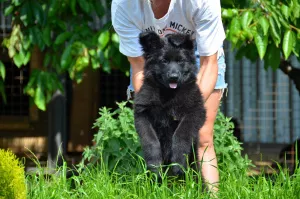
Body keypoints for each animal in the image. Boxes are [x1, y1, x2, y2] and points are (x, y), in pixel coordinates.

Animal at [134, 31, 206, 176]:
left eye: (180, 61)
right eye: (164, 61)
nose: (174, 77)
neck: (168, 93)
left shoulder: (195, 112)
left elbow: (181, 134)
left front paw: (178, 162)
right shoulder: (142, 114)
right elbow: (150, 139)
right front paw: (154, 164)